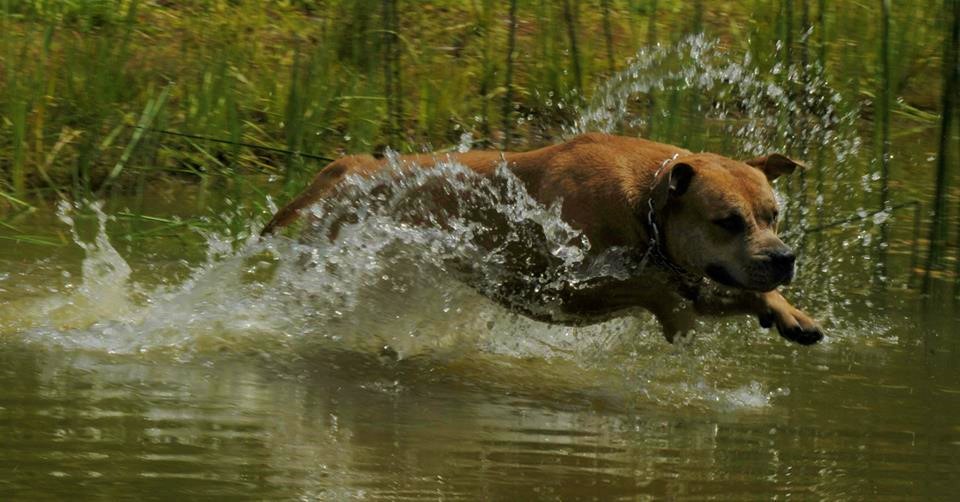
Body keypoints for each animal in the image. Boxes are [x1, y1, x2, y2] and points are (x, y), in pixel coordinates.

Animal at [262, 133, 824, 346]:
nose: (785, 257)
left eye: (774, 215)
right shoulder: (555, 287)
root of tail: (353, 167)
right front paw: (674, 314)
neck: (645, 204)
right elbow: (650, 287)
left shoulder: (697, 274)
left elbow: (727, 290)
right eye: (727, 221)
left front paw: (788, 312)